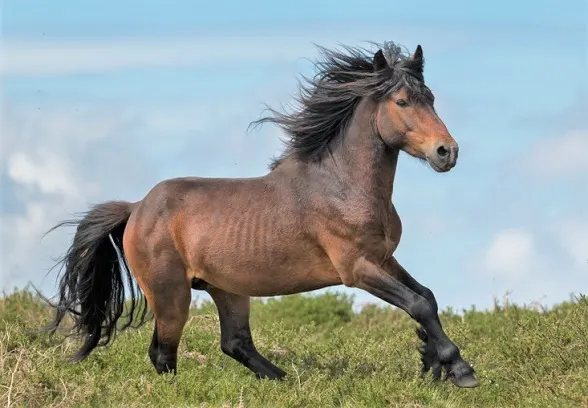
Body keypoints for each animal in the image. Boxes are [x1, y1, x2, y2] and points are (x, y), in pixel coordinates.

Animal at [43, 41, 480, 388]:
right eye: (402, 101)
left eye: (431, 98)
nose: (447, 152)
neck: (341, 185)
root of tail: (136, 209)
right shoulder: (357, 268)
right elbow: (418, 304)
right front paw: (459, 370)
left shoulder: (384, 258)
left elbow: (427, 296)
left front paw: (431, 360)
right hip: (171, 295)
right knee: (164, 353)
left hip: (228, 289)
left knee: (235, 343)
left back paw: (285, 381)